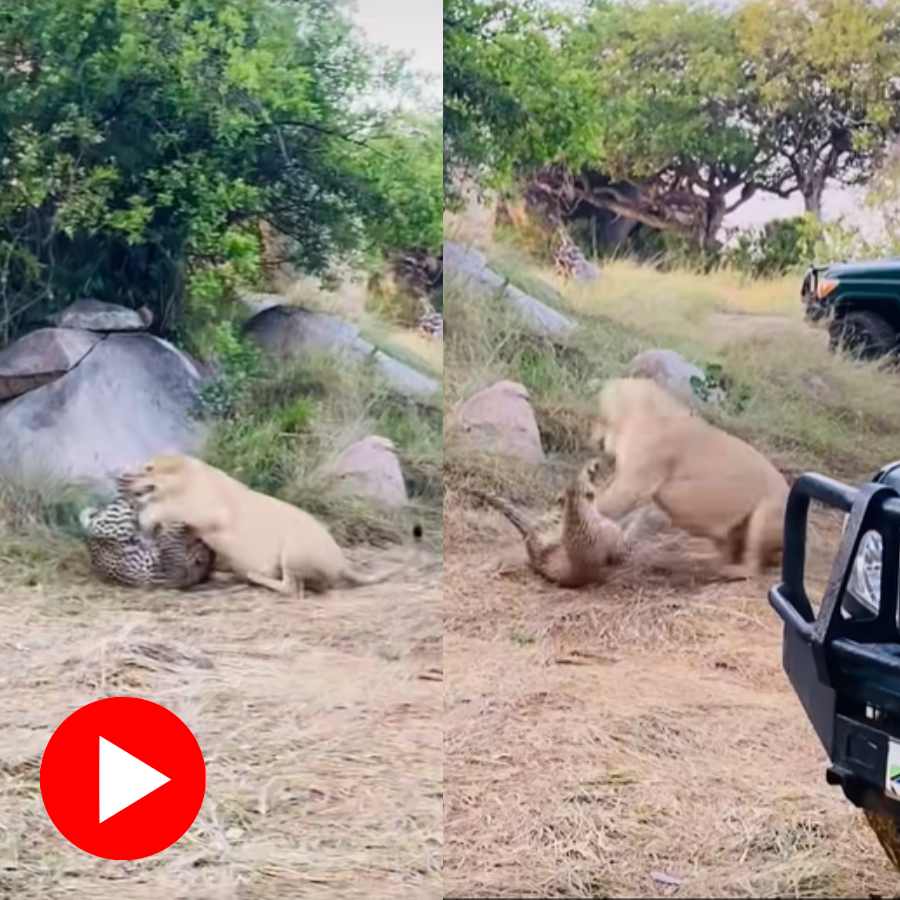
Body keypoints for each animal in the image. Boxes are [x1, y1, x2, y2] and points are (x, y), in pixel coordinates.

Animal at [125, 454, 420, 598]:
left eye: (149, 468)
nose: (124, 478)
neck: (192, 478)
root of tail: (342, 564)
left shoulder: (206, 512)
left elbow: (162, 507)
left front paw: (146, 517)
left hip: (293, 552)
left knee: (291, 588)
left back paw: (255, 576)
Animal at [589, 377, 789, 578]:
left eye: (599, 416)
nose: (593, 436)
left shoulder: (637, 475)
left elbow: (616, 499)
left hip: (769, 513)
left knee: (754, 562)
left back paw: (731, 569)